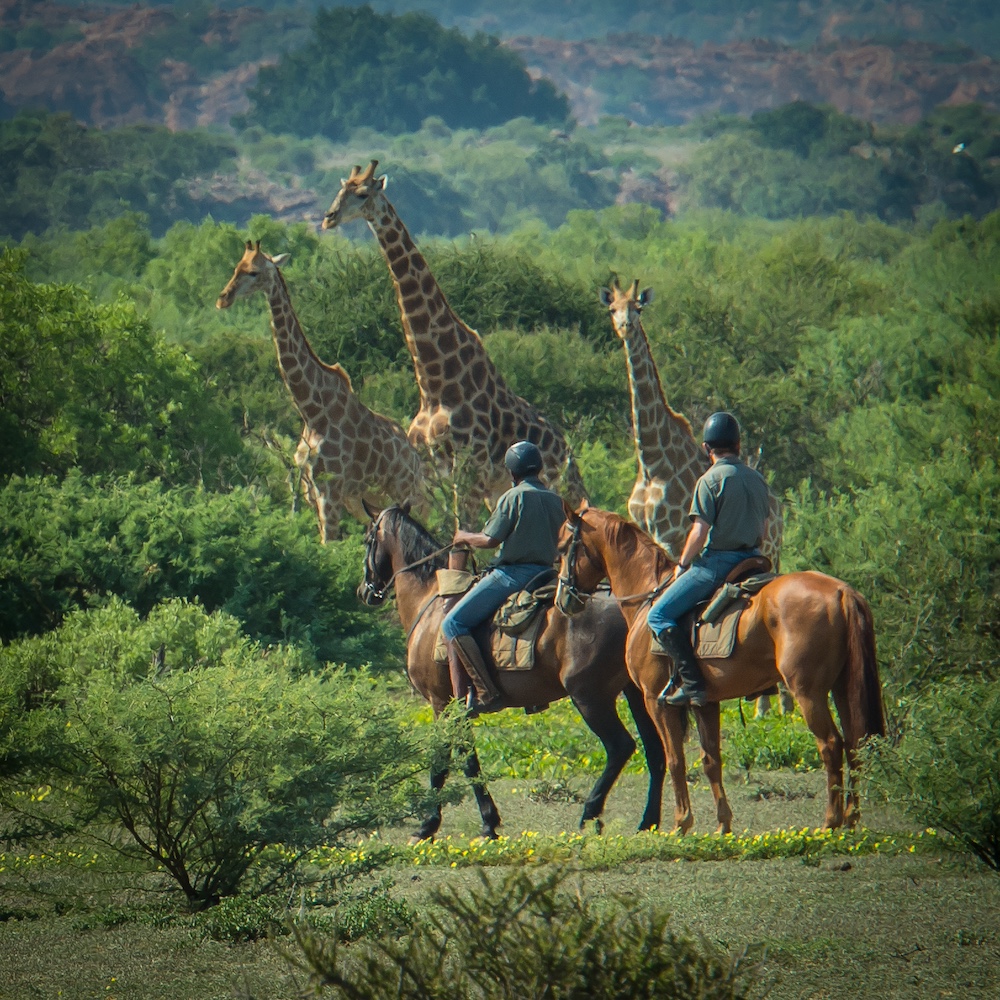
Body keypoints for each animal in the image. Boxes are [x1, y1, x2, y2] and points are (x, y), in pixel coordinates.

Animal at [217, 239, 424, 544]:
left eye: (254, 272)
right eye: (236, 268)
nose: (223, 299)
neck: (312, 410)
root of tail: (416, 460)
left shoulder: (331, 492)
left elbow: (330, 546)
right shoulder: (311, 492)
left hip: (407, 493)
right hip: (365, 501)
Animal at [320, 160, 584, 520]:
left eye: (361, 194)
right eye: (339, 191)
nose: (329, 217)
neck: (434, 384)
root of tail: (570, 456)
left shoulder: (470, 468)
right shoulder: (430, 472)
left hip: (551, 486)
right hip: (500, 485)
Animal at [358, 504, 664, 840]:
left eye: (367, 540)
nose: (364, 591)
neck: (430, 602)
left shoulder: (442, 704)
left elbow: (447, 761)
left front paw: (430, 825)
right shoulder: (459, 710)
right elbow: (469, 760)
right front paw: (487, 821)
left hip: (590, 697)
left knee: (620, 747)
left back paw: (590, 814)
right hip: (635, 694)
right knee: (656, 751)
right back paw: (649, 822)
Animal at [560, 500, 888, 836]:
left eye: (563, 547)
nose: (563, 599)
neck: (648, 596)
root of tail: (842, 592)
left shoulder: (656, 701)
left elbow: (675, 759)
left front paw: (682, 823)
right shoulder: (705, 702)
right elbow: (711, 760)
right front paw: (722, 824)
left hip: (808, 693)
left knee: (831, 745)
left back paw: (831, 822)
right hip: (842, 687)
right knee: (855, 744)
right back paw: (850, 818)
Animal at [596, 280, 784, 572]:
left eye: (638, 308)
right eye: (612, 309)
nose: (625, 326)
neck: (651, 462)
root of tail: (780, 515)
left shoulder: (672, 536)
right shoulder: (646, 531)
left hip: (770, 553)